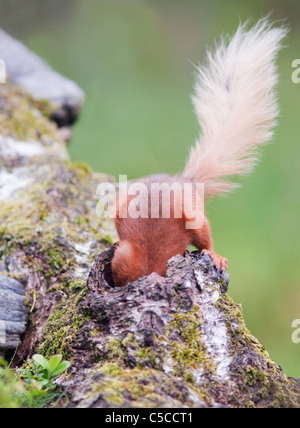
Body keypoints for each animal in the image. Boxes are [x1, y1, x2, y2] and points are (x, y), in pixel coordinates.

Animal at [110, 20, 286, 288]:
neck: (149, 268)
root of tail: (186, 181)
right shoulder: (124, 257)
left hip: (195, 217)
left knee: (206, 239)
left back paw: (215, 255)